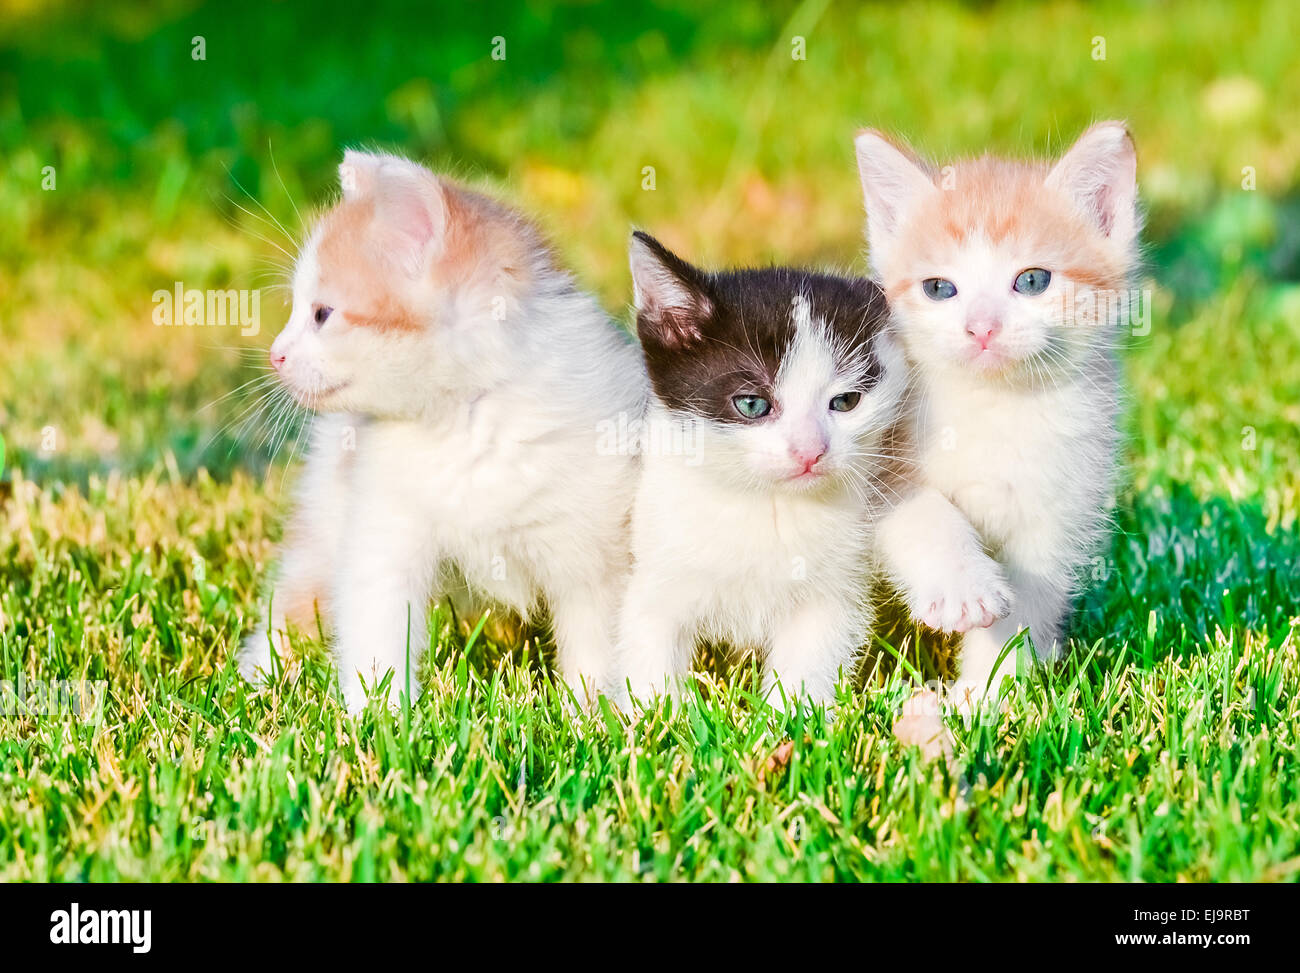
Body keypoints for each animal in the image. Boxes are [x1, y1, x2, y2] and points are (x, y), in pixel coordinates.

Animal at [237, 154, 644, 712]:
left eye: (322, 314)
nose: (275, 355)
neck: (464, 418)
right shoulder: (383, 531)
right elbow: (377, 632)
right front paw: (380, 719)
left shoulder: (596, 556)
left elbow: (596, 647)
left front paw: (593, 716)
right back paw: (257, 677)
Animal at [852, 125, 1138, 712]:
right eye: (939, 288)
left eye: (1031, 281)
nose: (981, 327)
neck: (995, 406)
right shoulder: (880, 466)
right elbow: (926, 513)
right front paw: (963, 587)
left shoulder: (1057, 515)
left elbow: (1025, 608)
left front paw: (988, 695)